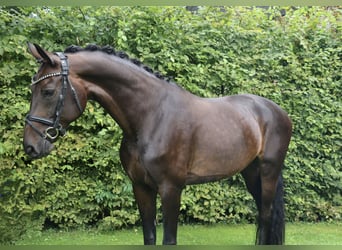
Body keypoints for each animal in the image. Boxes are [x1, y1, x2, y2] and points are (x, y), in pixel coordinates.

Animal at [23, 43, 292, 244]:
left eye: (47, 91)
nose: (30, 146)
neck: (151, 117)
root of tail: (275, 110)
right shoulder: (141, 187)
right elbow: (149, 236)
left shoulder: (171, 188)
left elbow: (168, 239)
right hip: (251, 172)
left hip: (268, 171)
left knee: (266, 216)